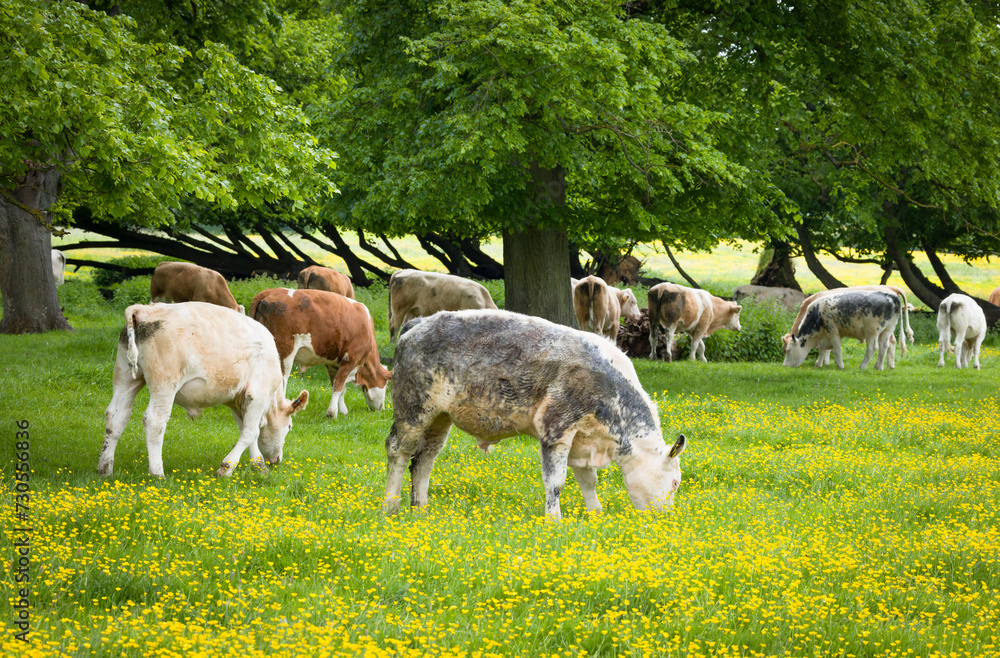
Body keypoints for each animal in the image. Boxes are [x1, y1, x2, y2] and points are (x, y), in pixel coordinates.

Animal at [98, 302, 308, 478]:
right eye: (290, 426)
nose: (277, 460)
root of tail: (144, 309)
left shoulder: (239, 399)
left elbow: (248, 431)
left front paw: (258, 465)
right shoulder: (258, 394)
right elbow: (250, 431)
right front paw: (227, 467)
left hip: (126, 378)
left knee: (116, 417)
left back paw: (105, 468)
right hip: (164, 385)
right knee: (154, 421)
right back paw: (158, 473)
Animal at [250, 288, 391, 418]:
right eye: (386, 386)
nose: (382, 409)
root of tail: (270, 292)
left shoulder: (333, 364)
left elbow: (340, 387)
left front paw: (342, 410)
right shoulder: (351, 359)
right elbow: (339, 385)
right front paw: (332, 413)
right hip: (285, 352)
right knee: (281, 381)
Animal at [383, 309, 687, 521]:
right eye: (675, 483)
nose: (666, 520)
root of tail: (419, 323)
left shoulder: (582, 442)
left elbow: (588, 482)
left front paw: (595, 514)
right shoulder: (556, 428)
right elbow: (555, 483)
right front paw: (554, 519)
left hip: (439, 419)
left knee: (423, 461)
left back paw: (421, 508)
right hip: (412, 410)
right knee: (398, 452)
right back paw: (390, 505)